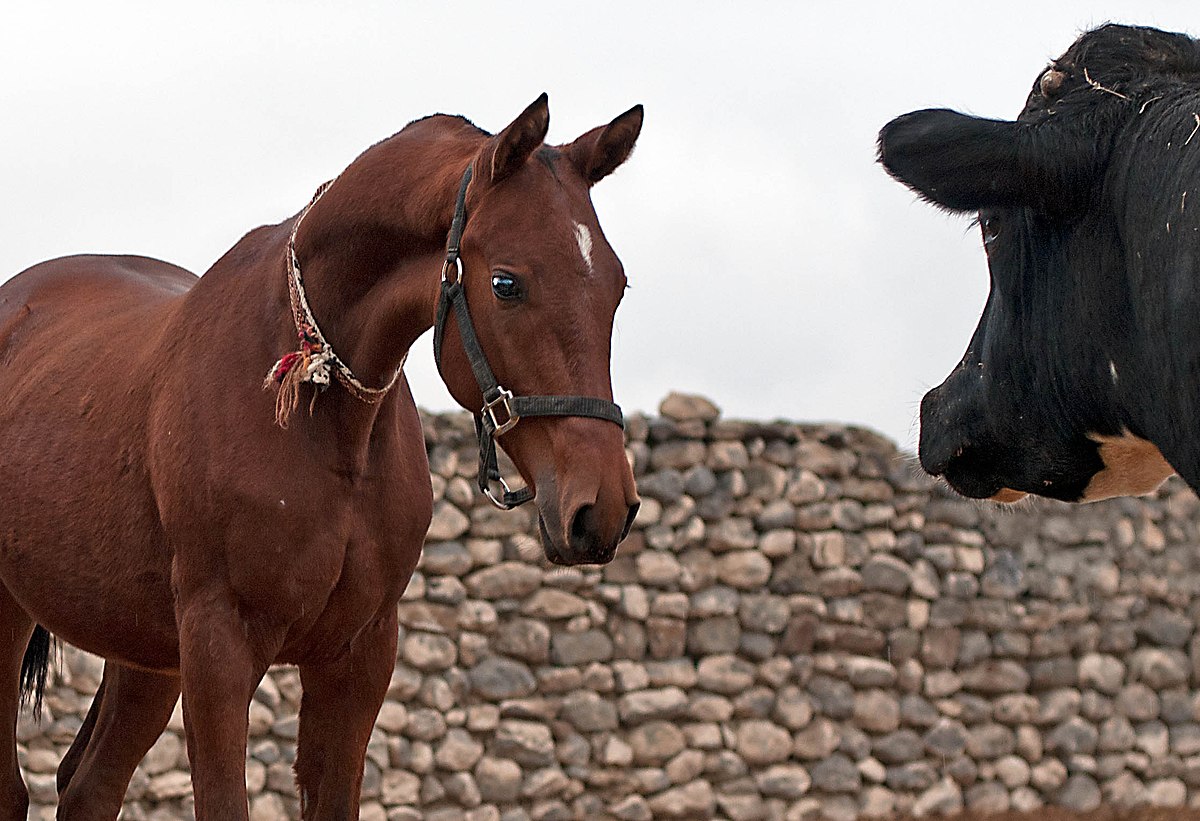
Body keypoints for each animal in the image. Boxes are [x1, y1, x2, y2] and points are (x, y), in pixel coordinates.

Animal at [0, 94, 643, 816]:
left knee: (89, 784)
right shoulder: (219, 649)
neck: (328, 423)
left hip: (145, 648)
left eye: (617, 286)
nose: (601, 507)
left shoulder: (357, 656)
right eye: (506, 283)